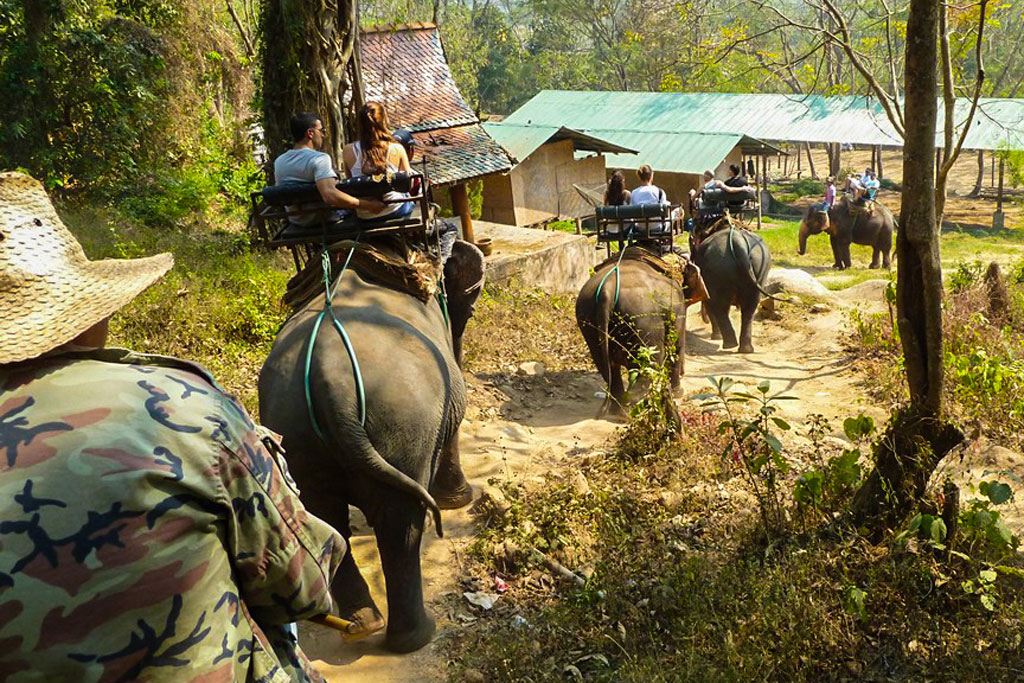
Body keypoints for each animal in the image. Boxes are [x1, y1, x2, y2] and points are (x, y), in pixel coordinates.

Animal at [253, 239, 481, 651]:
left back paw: (363, 624)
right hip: (404, 420)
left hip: (295, 432)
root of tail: (332, 381)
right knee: (401, 524)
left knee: (326, 516)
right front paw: (457, 501)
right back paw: (417, 636)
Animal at [573, 245, 708, 417]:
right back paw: (631, 410)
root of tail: (606, 290)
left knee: (606, 366)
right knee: (650, 362)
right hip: (642, 319)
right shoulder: (677, 308)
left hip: (588, 320)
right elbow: (676, 346)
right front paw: (679, 392)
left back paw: (619, 410)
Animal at [692, 227, 770, 356]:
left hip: (719, 270)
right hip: (758, 269)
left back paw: (729, 345)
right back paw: (745, 349)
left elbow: (709, 303)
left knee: (719, 305)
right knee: (750, 307)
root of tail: (738, 242)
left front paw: (715, 337)